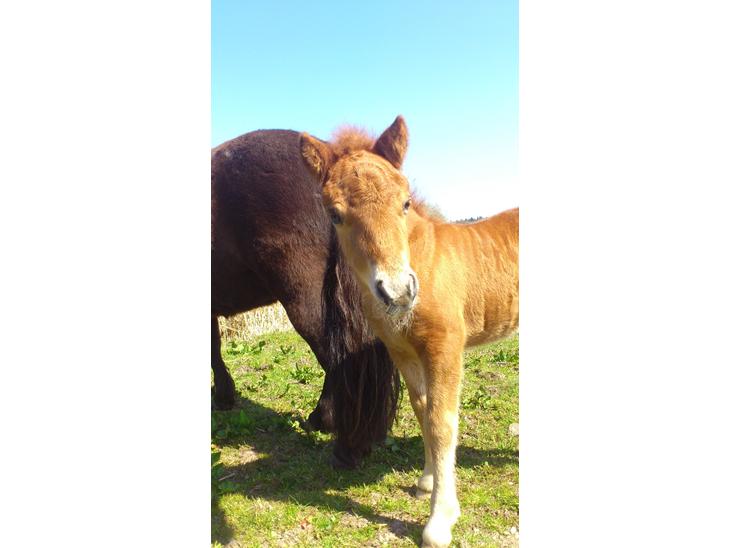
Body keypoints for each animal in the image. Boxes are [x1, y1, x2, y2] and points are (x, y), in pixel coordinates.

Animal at [300, 116, 519, 547]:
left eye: (404, 203)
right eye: (335, 215)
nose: (399, 291)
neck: (427, 260)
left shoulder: (446, 347)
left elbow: (441, 422)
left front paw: (440, 519)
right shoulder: (401, 351)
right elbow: (422, 410)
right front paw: (427, 481)